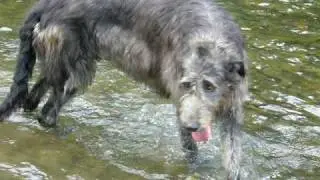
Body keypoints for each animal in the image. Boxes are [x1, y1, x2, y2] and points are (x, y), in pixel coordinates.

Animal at [0, 0, 249, 179]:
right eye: (186, 84)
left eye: (209, 86)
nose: (192, 126)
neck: (211, 36)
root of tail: (44, 5)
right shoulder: (181, 102)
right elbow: (192, 152)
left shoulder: (232, 109)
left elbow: (233, 157)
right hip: (76, 66)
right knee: (47, 111)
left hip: (59, 61)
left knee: (34, 95)